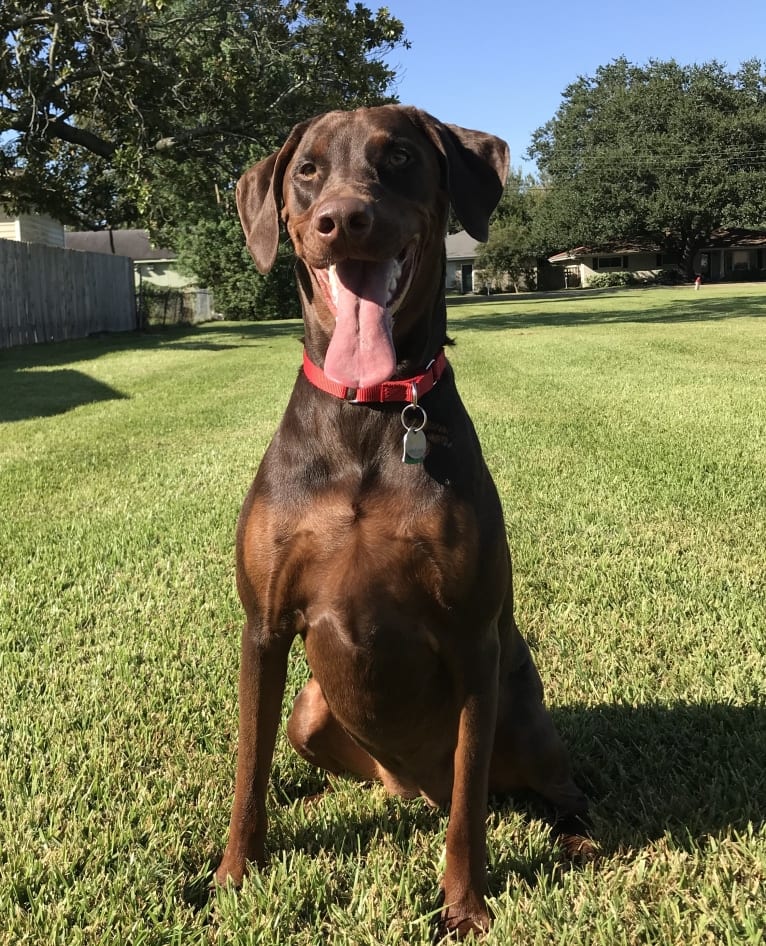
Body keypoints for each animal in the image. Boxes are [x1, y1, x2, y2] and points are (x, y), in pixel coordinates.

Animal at [218, 105, 592, 936]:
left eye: (398, 159)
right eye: (307, 171)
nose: (343, 219)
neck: (372, 412)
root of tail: (407, 785)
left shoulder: (472, 640)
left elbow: (468, 808)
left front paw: (466, 906)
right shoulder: (264, 625)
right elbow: (249, 768)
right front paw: (233, 874)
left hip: (522, 715)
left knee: (549, 786)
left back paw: (578, 838)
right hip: (312, 710)